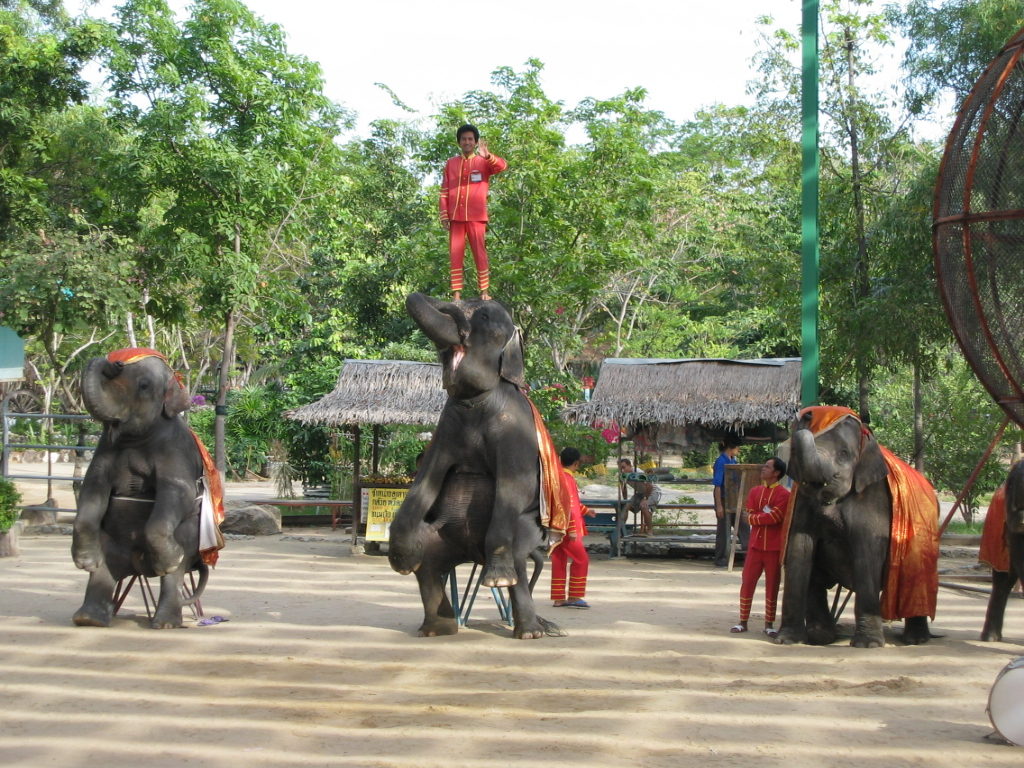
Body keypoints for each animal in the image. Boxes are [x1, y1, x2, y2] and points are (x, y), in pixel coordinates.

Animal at [391, 290, 569, 638]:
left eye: (484, 316)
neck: (475, 403)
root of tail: (472, 556)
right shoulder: (445, 427)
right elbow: (425, 479)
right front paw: (401, 559)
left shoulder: (514, 429)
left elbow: (514, 485)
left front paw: (498, 578)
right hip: (443, 541)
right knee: (428, 566)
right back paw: (437, 629)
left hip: (528, 534)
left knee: (518, 559)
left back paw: (528, 627)